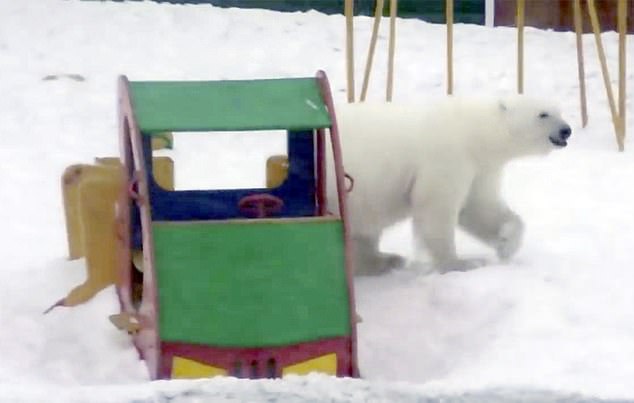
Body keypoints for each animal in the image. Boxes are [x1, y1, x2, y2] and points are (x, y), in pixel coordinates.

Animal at [328, 96, 572, 276]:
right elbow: (436, 207)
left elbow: (479, 208)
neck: (474, 132)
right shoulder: (448, 156)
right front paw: (462, 263)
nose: (566, 130)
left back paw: (386, 260)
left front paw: (506, 244)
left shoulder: (480, 167)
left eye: (559, 111)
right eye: (543, 114)